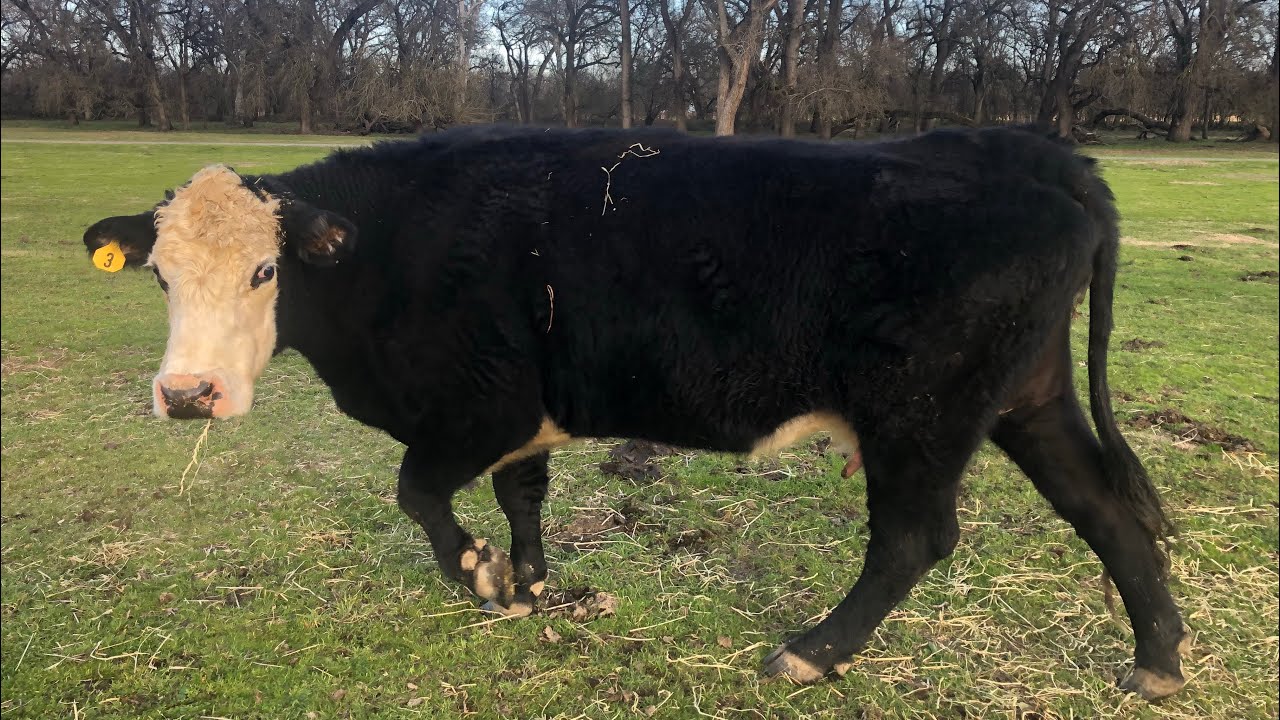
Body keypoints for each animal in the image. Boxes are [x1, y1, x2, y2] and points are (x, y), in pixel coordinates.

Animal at [82, 125, 1188, 700]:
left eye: (266, 271)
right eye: (160, 276)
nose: (187, 394)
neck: (394, 247)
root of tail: (1024, 149)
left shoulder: (476, 407)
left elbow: (420, 496)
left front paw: (480, 575)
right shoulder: (522, 415)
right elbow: (521, 496)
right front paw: (527, 587)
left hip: (918, 415)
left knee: (913, 539)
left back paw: (810, 652)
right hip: (1028, 398)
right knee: (1105, 510)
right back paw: (1157, 663)